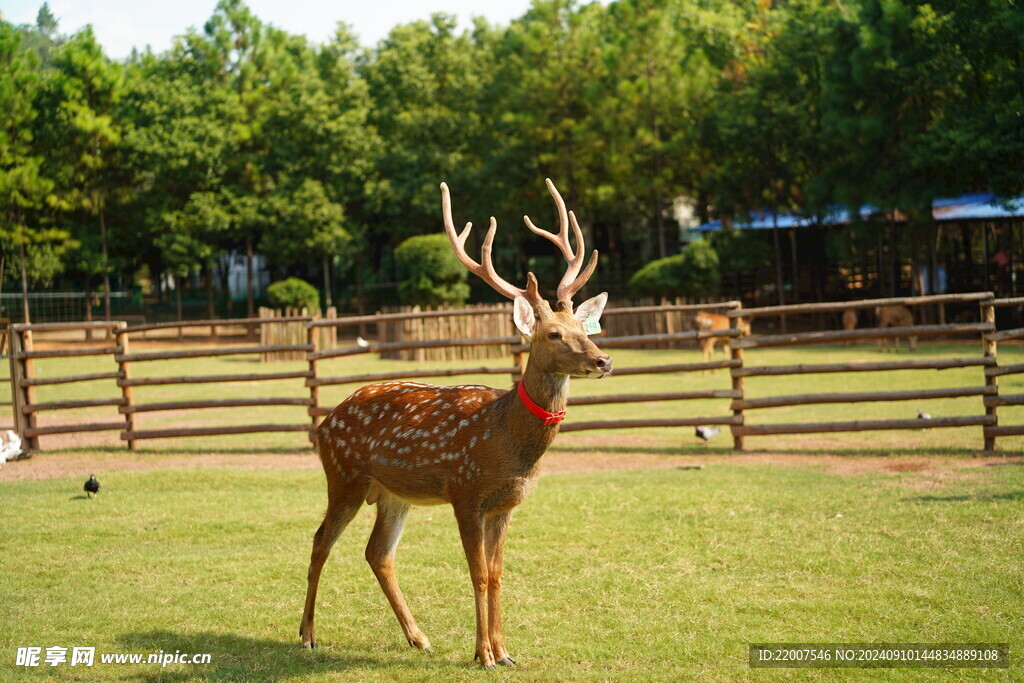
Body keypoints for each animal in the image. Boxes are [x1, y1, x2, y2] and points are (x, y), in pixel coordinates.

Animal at [299, 179, 610, 671]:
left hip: (391, 494)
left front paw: (505, 652)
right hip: (343, 476)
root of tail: (325, 422)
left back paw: (419, 638)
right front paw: (483, 654)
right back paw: (308, 636)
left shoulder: (505, 505)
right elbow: (478, 574)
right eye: (553, 334)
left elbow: (498, 574)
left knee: (377, 552)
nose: (604, 360)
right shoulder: (466, 492)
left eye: (585, 328)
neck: (507, 442)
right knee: (320, 542)